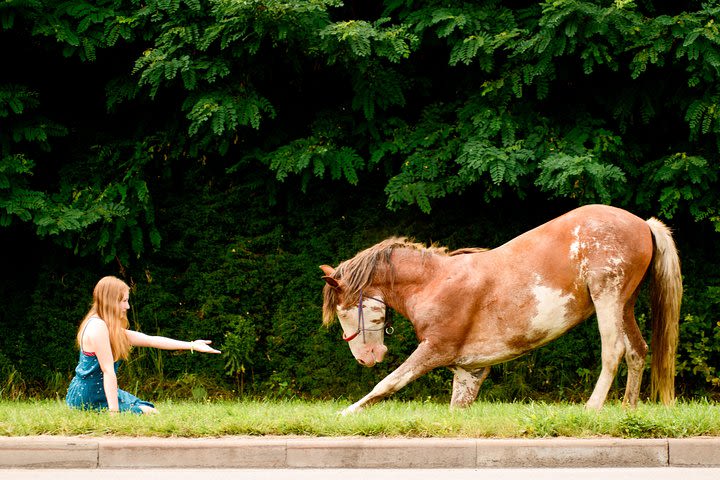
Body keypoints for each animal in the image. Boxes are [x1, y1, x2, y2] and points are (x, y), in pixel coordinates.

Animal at [320, 204, 680, 414]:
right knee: (637, 350)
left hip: (608, 297)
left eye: (343, 312)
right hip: (625, 304)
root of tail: (643, 223)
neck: (432, 282)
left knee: (614, 350)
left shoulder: (435, 349)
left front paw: (345, 414)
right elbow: (456, 406)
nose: (365, 359)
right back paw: (628, 409)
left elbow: (387, 384)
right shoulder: (469, 370)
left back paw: (592, 408)